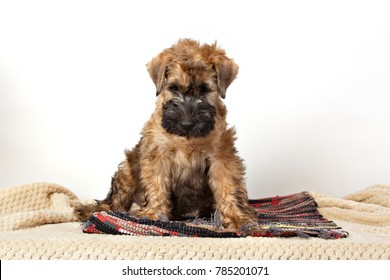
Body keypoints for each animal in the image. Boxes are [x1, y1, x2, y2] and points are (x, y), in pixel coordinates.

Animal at [75, 38, 258, 230]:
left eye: (204, 89)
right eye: (174, 87)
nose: (186, 124)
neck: (187, 140)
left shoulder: (221, 156)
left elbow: (228, 186)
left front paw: (237, 217)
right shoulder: (158, 155)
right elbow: (157, 185)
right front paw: (153, 214)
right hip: (127, 170)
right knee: (113, 202)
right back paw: (91, 211)